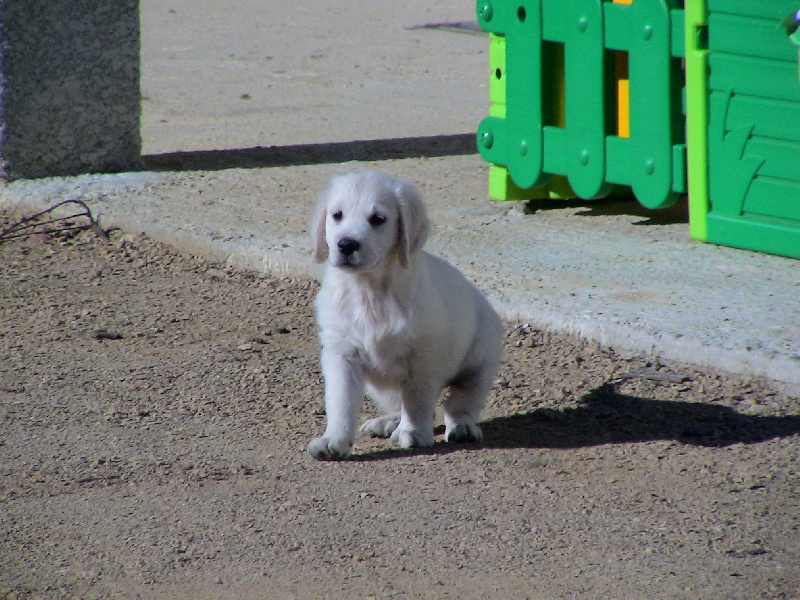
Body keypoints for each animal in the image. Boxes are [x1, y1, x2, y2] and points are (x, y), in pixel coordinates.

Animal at [308, 171, 504, 462]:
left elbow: (417, 399)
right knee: (398, 403)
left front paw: (413, 432)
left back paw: (463, 427)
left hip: (482, 357)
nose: (346, 244)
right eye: (337, 215)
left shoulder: (424, 358)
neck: (370, 290)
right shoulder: (341, 352)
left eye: (378, 219)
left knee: (462, 400)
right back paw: (388, 422)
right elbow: (341, 401)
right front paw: (334, 441)